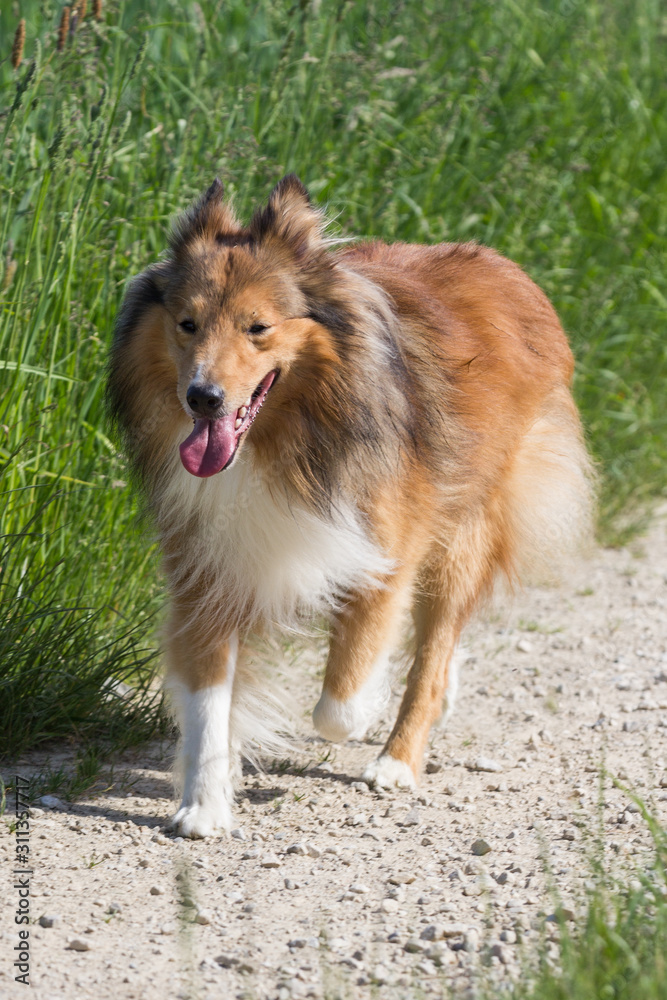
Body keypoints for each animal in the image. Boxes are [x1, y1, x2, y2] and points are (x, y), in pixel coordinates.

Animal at [108, 178, 596, 836]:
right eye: (187, 323)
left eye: (257, 327)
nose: (202, 398)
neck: (287, 441)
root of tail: (502, 265)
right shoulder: (208, 570)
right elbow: (209, 701)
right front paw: (204, 805)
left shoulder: (385, 554)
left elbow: (339, 703)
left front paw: (365, 706)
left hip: (465, 534)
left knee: (432, 652)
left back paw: (397, 761)